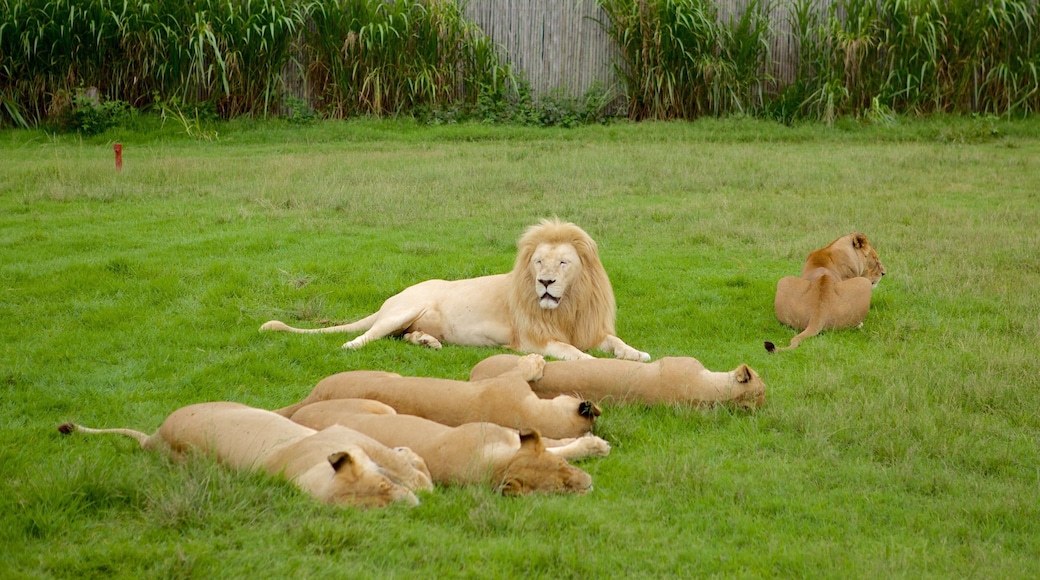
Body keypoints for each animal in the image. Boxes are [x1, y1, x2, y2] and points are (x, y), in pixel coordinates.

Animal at [58, 402, 432, 508]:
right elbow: (412, 470)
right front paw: (420, 476)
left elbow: (396, 459)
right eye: (378, 509)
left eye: (383, 487)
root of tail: (154, 439)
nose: (412, 508)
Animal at [260, 218, 650, 362]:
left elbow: (616, 343)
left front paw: (638, 354)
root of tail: (391, 299)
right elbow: (575, 354)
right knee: (368, 335)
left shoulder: (590, 329)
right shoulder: (534, 341)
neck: (567, 306)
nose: (545, 282)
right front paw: (595, 365)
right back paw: (352, 345)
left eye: (563, 263)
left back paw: (427, 342)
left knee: (401, 336)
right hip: (404, 310)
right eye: (539, 262)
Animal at [287, 399, 608, 495]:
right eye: (560, 491)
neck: (493, 464)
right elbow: (556, 445)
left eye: (564, 470)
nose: (589, 483)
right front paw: (596, 445)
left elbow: (553, 446)